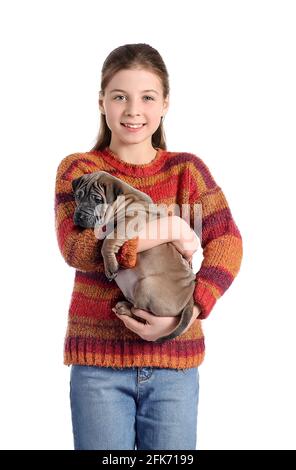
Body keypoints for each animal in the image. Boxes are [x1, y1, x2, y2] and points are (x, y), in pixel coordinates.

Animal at [71, 170, 197, 342]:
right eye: (78, 195)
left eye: (97, 200)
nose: (80, 216)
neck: (125, 197)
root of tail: (189, 299)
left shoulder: (132, 219)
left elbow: (109, 239)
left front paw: (110, 266)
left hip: (147, 284)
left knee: (140, 313)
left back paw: (124, 308)